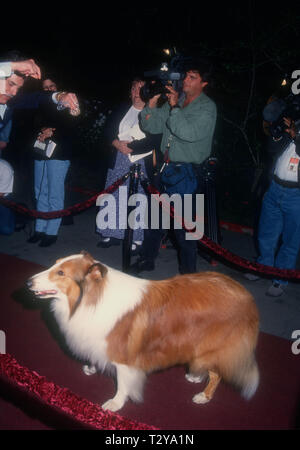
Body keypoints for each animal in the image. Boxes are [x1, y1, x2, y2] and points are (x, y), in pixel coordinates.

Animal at [26, 250, 260, 412]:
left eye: (61, 273)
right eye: (55, 264)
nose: (28, 282)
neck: (91, 299)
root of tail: (247, 296)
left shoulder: (124, 358)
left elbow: (122, 384)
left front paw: (115, 404)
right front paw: (92, 367)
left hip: (213, 344)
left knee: (217, 373)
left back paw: (204, 395)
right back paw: (195, 375)